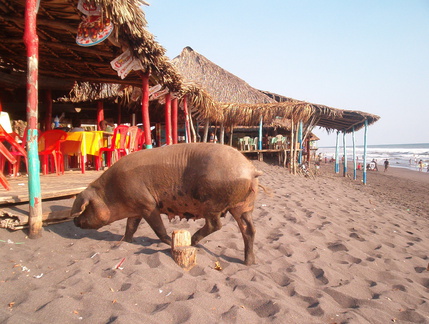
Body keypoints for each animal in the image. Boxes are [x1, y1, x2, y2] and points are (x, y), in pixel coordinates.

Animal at [72, 143, 260, 264]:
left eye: (85, 208)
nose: (74, 221)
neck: (111, 193)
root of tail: (251, 169)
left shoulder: (148, 205)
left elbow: (159, 229)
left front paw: (170, 243)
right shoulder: (136, 209)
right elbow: (130, 227)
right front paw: (123, 243)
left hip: (212, 203)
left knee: (216, 225)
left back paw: (192, 241)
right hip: (244, 206)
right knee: (249, 229)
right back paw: (249, 262)